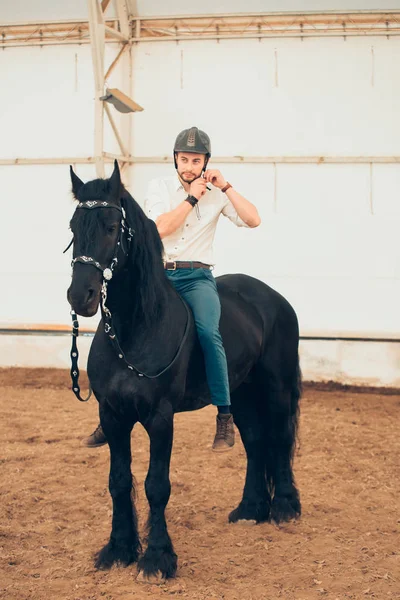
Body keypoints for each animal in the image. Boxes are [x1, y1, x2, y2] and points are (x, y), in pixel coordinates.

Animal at [67, 159, 302, 580]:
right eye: (73, 228)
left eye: (111, 227)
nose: (81, 296)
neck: (136, 329)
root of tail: (273, 298)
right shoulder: (112, 416)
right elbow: (118, 481)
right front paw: (118, 549)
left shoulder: (161, 418)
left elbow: (156, 485)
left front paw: (157, 558)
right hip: (241, 393)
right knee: (256, 441)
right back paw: (250, 509)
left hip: (276, 389)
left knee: (278, 438)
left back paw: (285, 507)